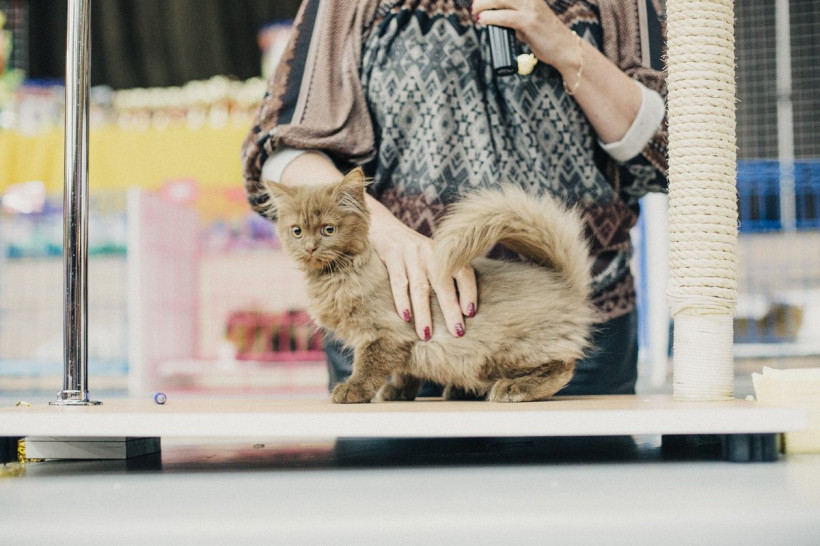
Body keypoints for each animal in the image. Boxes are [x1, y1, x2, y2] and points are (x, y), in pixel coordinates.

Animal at [263, 167, 594, 403]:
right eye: (296, 231)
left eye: (328, 230)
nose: (310, 248)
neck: (340, 274)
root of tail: (562, 279)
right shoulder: (407, 342)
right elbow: (405, 371)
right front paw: (397, 392)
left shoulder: (384, 333)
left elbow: (368, 367)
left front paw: (353, 390)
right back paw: (462, 391)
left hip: (508, 351)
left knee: (562, 368)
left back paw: (513, 389)